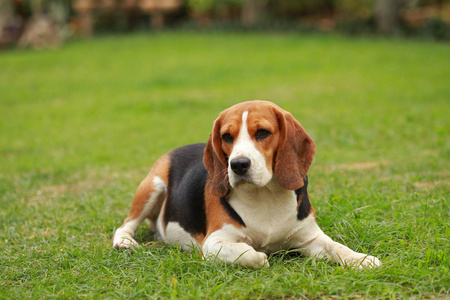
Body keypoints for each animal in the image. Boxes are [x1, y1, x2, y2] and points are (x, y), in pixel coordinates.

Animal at [114, 99, 382, 268]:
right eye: (226, 137)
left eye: (262, 132)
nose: (238, 165)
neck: (264, 195)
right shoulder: (213, 243)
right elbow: (247, 253)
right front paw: (259, 256)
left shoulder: (310, 237)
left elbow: (336, 247)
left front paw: (362, 259)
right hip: (153, 185)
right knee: (125, 224)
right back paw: (124, 242)